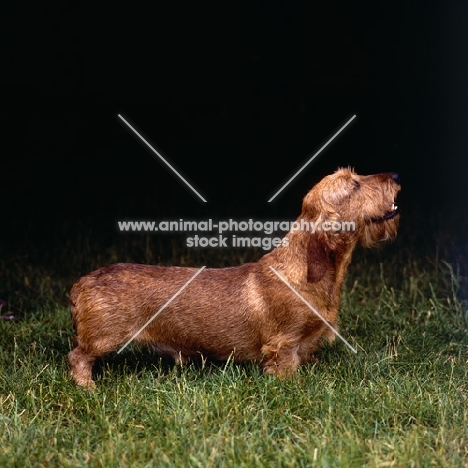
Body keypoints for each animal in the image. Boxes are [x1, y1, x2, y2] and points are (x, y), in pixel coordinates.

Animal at [68, 168, 398, 388]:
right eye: (353, 184)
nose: (395, 175)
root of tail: (81, 283)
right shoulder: (284, 343)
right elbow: (285, 367)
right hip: (104, 338)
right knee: (77, 357)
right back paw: (88, 387)